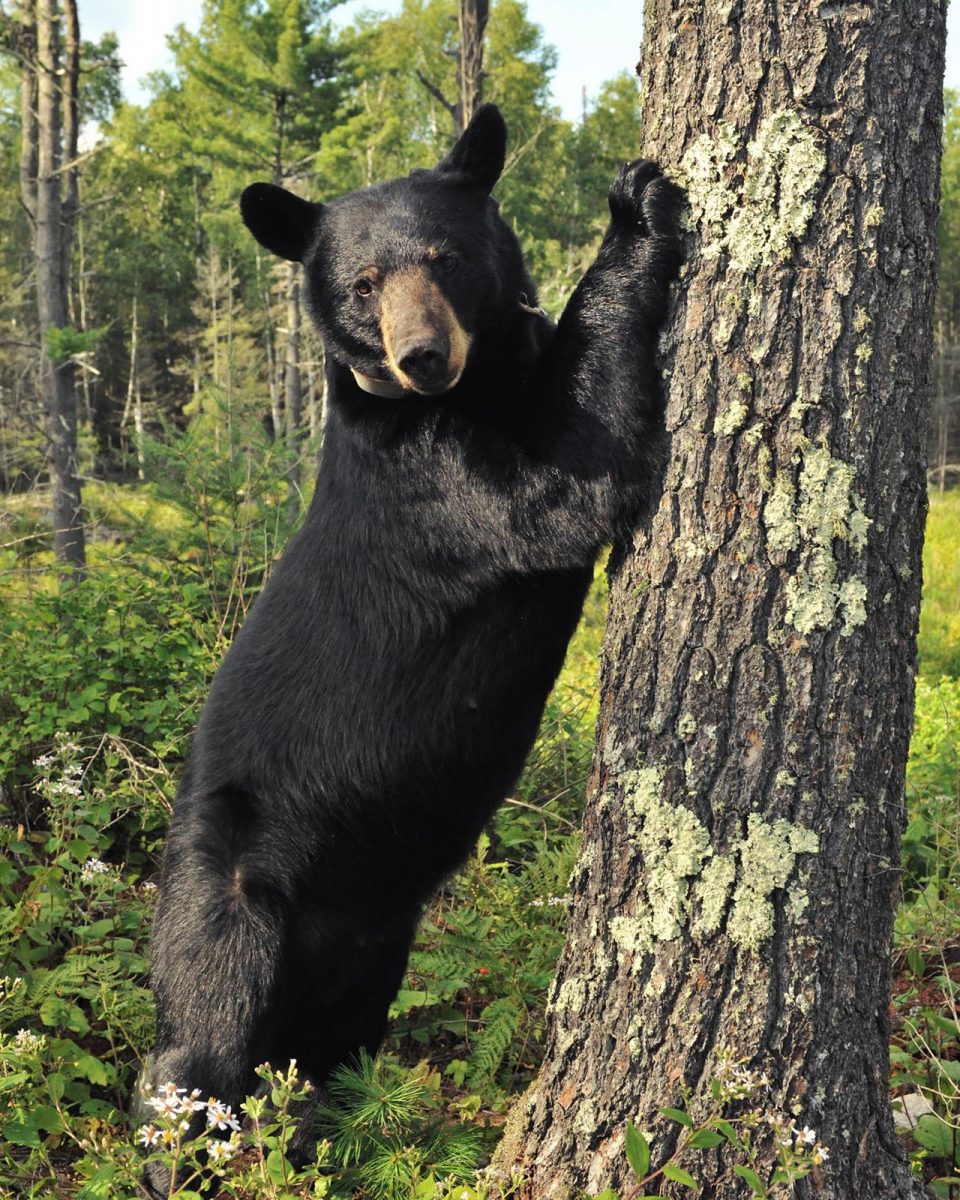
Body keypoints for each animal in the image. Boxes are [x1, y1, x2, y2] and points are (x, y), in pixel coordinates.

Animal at [144, 100, 681, 1180]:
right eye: (361, 283)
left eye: (444, 257)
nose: (421, 354)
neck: (454, 399)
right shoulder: (434, 481)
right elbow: (574, 474)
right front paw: (634, 209)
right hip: (225, 898)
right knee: (200, 1040)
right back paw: (178, 1155)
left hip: (373, 950)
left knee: (326, 1046)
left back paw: (325, 1132)